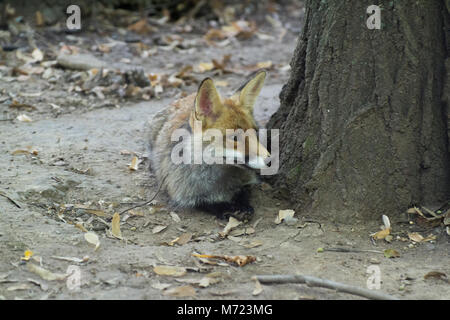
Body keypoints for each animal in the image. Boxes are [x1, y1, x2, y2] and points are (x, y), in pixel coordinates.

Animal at [148, 70, 268, 220]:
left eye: (255, 132)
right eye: (234, 137)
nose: (270, 160)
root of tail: (186, 97)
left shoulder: (247, 181)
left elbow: (243, 191)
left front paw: (242, 204)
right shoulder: (182, 193)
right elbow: (207, 203)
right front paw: (226, 208)